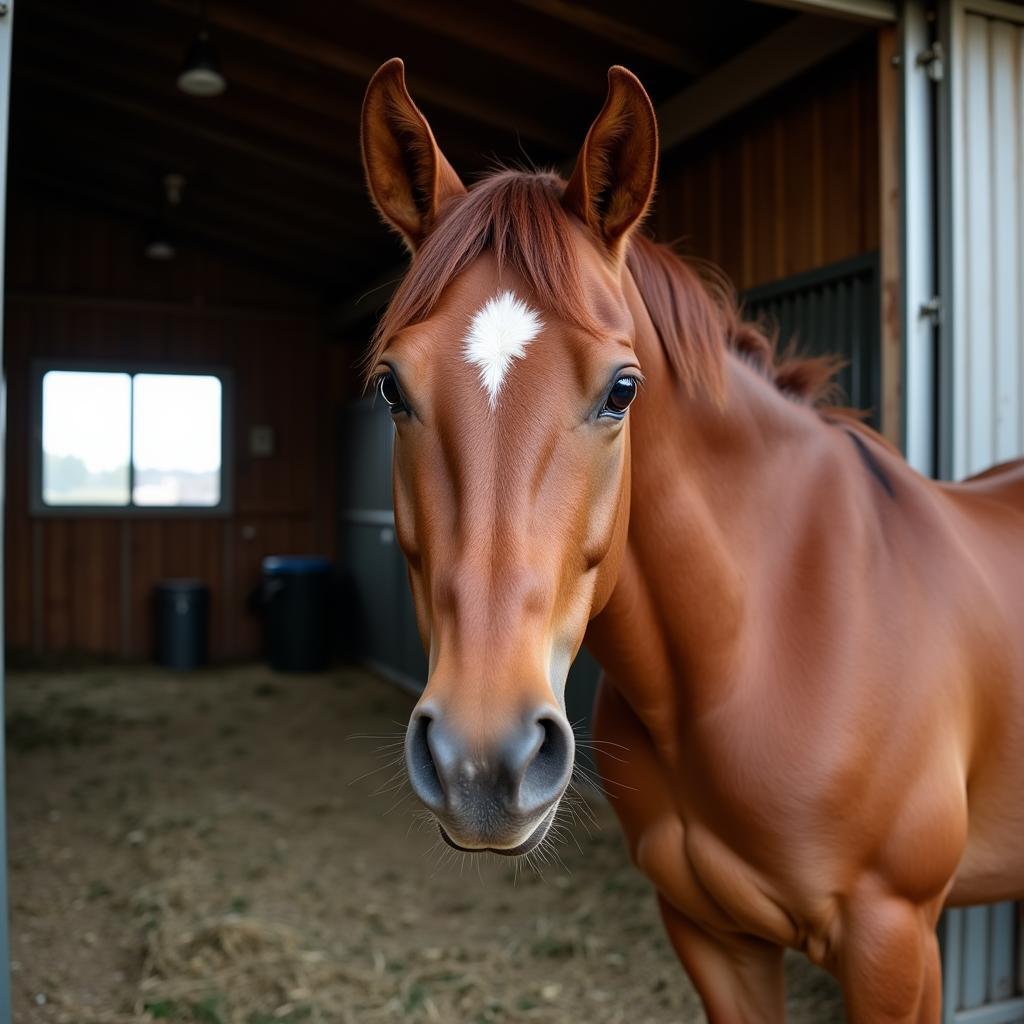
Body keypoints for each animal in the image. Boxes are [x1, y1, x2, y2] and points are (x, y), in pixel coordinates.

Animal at [358, 59, 1024, 1019]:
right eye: (391, 388)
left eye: (622, 389)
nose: (481, 764)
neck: (760, 644)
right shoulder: (711, 935)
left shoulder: (895, 944)